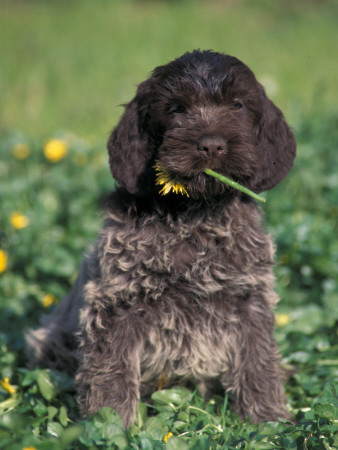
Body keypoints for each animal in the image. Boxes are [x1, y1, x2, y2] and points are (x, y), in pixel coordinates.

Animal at [26, 51, 296, 428]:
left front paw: (267, 420)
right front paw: (111, 426)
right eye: (177, 109)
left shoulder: (249, 300)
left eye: (237, 105)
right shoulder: (118, 304)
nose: (212, 145)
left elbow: (257, 362)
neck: (195, 214)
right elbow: (111, 373)